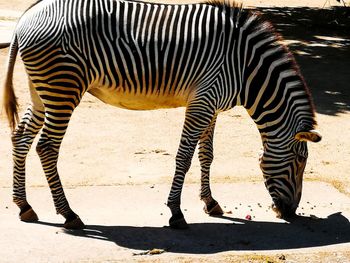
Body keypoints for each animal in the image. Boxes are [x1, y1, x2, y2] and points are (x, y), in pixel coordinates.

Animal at [2, 0, 322, 230]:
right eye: (300, 162)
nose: (291, 213)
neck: (246, 68)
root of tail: (25, 18)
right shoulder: (202, 103)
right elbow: (184, 157)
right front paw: (176, 213)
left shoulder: (211, 105)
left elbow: (207, 155)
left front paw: (210, 202)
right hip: (63, 88)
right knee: (46, 147)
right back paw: (68, 214)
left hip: (41, 89)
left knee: (21, 137)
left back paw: (24, 206)